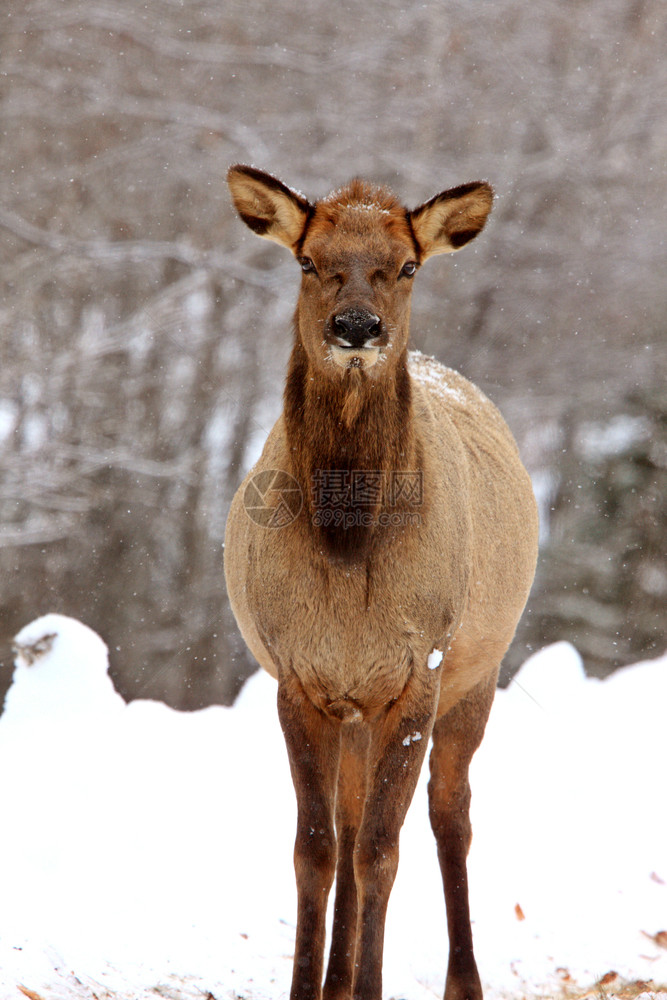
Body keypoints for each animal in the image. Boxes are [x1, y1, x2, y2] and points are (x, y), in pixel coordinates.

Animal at [227, 166, 540, 1000]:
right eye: (308, 261)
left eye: (406, 267)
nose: (357, 327)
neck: (348, 548)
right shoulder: (299, 675)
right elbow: (315, 847)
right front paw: (312, 987)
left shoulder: (417, 672)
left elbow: (380, 850)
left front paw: (367, 985)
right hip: (355, 710)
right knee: (348, 818)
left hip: (476, 673)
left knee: (448, 816)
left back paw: (461, 980)